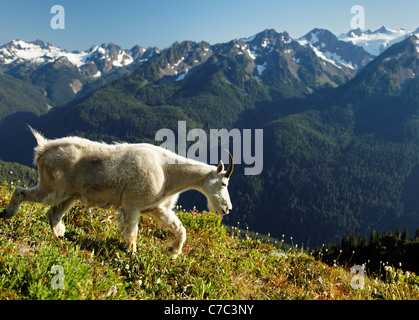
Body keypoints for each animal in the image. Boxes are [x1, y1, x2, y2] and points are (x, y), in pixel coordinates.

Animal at [1, 126, 235, 258]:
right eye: (224, 184)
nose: (227, 209)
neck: (167, 172)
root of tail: (43, 150)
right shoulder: (132, 205)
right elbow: (132, 232)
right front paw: (132, 256)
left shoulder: (157, 208)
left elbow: (180, 229)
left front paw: (173, 252)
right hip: (52, 188)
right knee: (22, 192)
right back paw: (8, 213)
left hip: (69, 194)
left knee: (53, 213)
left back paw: (60, 236)